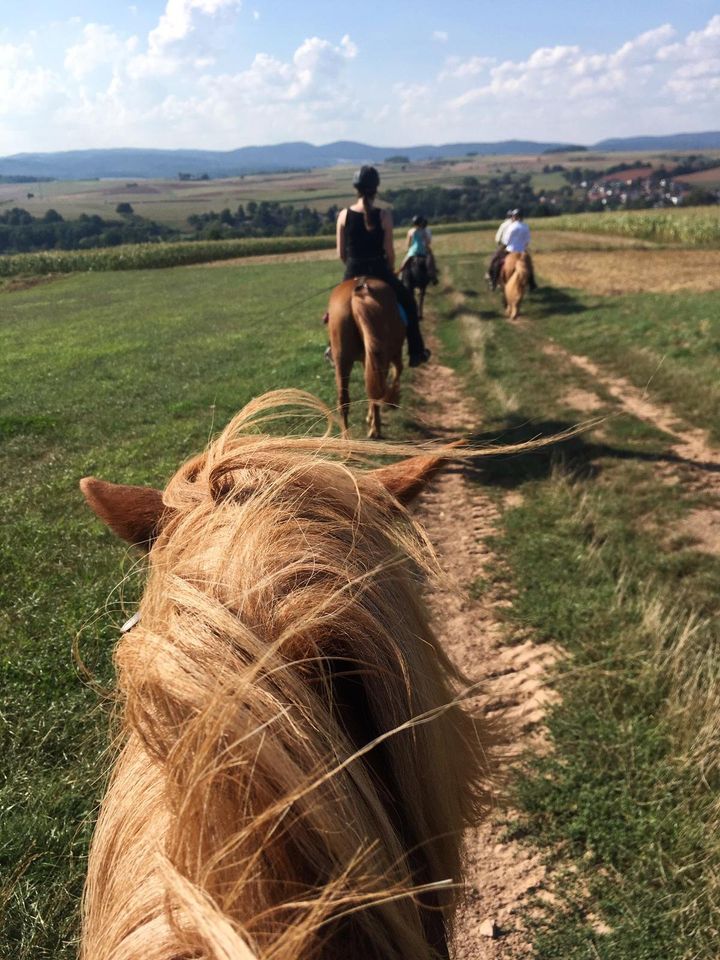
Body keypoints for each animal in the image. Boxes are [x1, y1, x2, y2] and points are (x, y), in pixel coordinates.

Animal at [328, 280, 404, 440]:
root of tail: (360, 289)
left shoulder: (365, 360)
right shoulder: (393, 354)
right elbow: (398, 370)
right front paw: (392, 400)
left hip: (342, 361)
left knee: (344, 400)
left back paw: (346, 441)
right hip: (382, 357)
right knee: (377, 392)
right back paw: (375, 430)